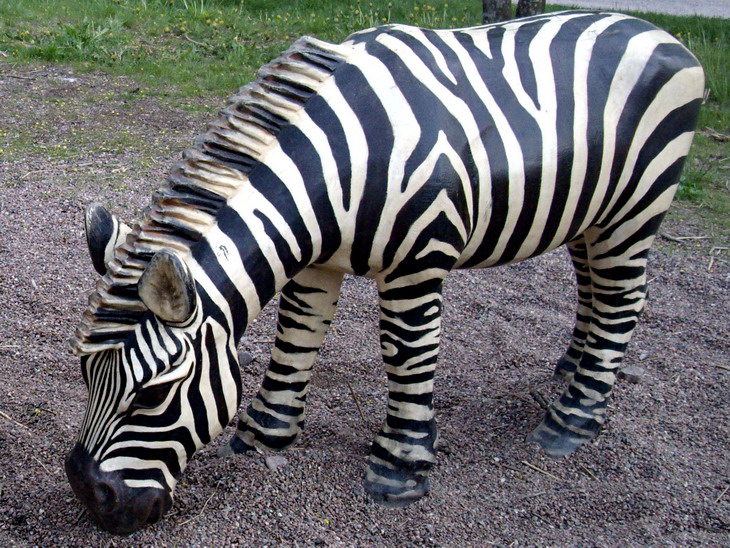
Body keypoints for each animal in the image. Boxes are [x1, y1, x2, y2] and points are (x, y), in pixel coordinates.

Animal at [65, 11, 704, 534]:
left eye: (152, 396)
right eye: (85, 376)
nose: (91, 499)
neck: (337, 168)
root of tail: (659, 32)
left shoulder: (419, 261)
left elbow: (407, 354)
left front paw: (401, 467)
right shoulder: (316, 263)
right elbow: (296, 340)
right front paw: (264, 434)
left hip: (636, 208)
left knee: (623, 299)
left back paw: (573, 420)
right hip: (588, 210)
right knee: (592, 287)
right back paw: (570, 371)